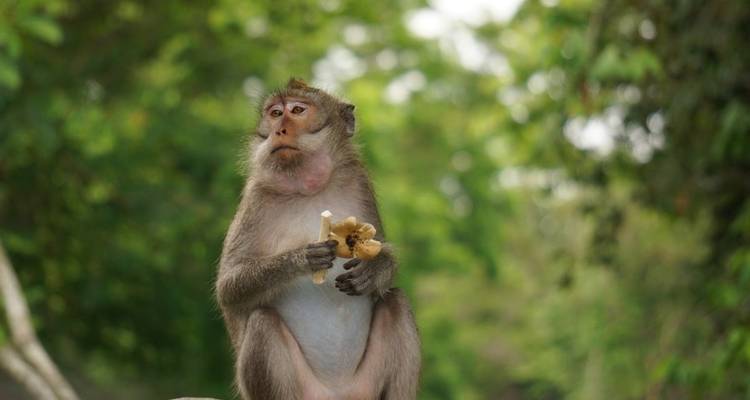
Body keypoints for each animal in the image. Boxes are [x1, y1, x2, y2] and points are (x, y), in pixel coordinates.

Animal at [216, 78, 420, 400]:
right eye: (275, 113)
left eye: (298, 110)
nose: (279, 130)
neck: (306, 188)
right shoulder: (256, 199)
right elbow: (228, 286)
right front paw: (303, 258)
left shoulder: (358, 181)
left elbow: (377, 250)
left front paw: (375, 269)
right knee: (262, 322)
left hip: (366, 387)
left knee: (397, 301)